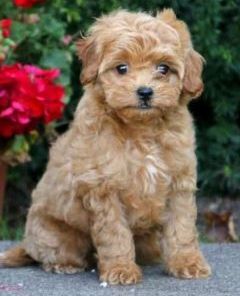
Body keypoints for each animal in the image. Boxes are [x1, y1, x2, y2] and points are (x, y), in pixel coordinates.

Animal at [0, 9, 211, 284]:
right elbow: (114, 233)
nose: (145, 92)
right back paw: (64, 265)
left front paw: (187, 262)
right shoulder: (103, 188)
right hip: (57, 234)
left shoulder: (179, 183)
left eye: (163, 69)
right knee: (53, 253)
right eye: (121, 68)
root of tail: (27, 243)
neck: (141, 129)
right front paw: (121, 269)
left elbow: (182, 228)